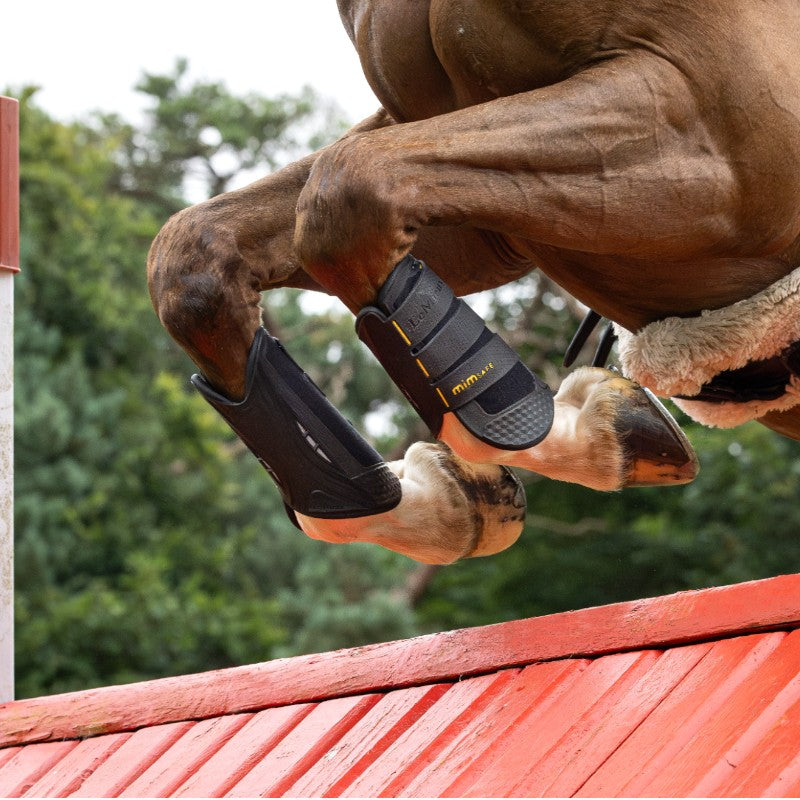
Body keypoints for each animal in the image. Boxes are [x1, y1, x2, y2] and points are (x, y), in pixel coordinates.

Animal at [147, 0, 800, 564]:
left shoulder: (713, 137)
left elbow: (348, 194)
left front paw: (585, 430)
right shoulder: (465, 191)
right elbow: (192, 263)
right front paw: (434, 500)